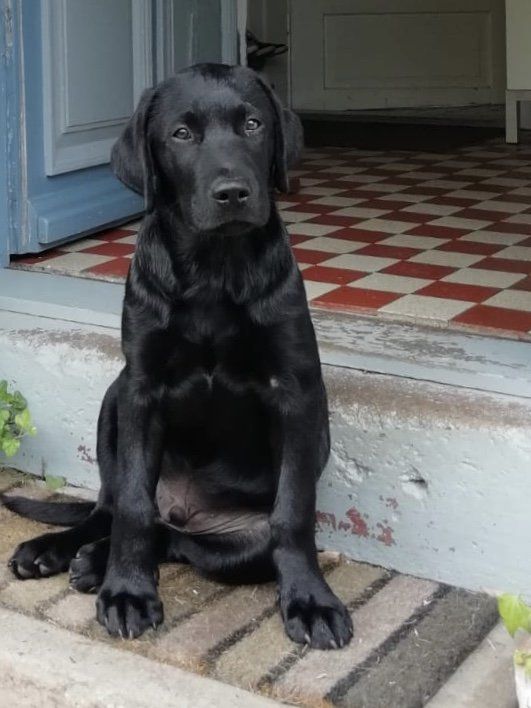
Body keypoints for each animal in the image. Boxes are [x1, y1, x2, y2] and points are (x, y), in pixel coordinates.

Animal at [2, 64, 353, 649]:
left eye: (253, 124)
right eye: (181, 134)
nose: (232, 192)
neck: (213, 267)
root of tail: (186, 509)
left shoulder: (296, 391)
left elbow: (293, 513)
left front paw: (311, 601)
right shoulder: (141, 388)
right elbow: (133, 507)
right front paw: (128, 591)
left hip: (239, 541)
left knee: (180, 541)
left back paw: (92, 563)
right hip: (113, 396)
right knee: (115, 508)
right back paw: (61, 551)